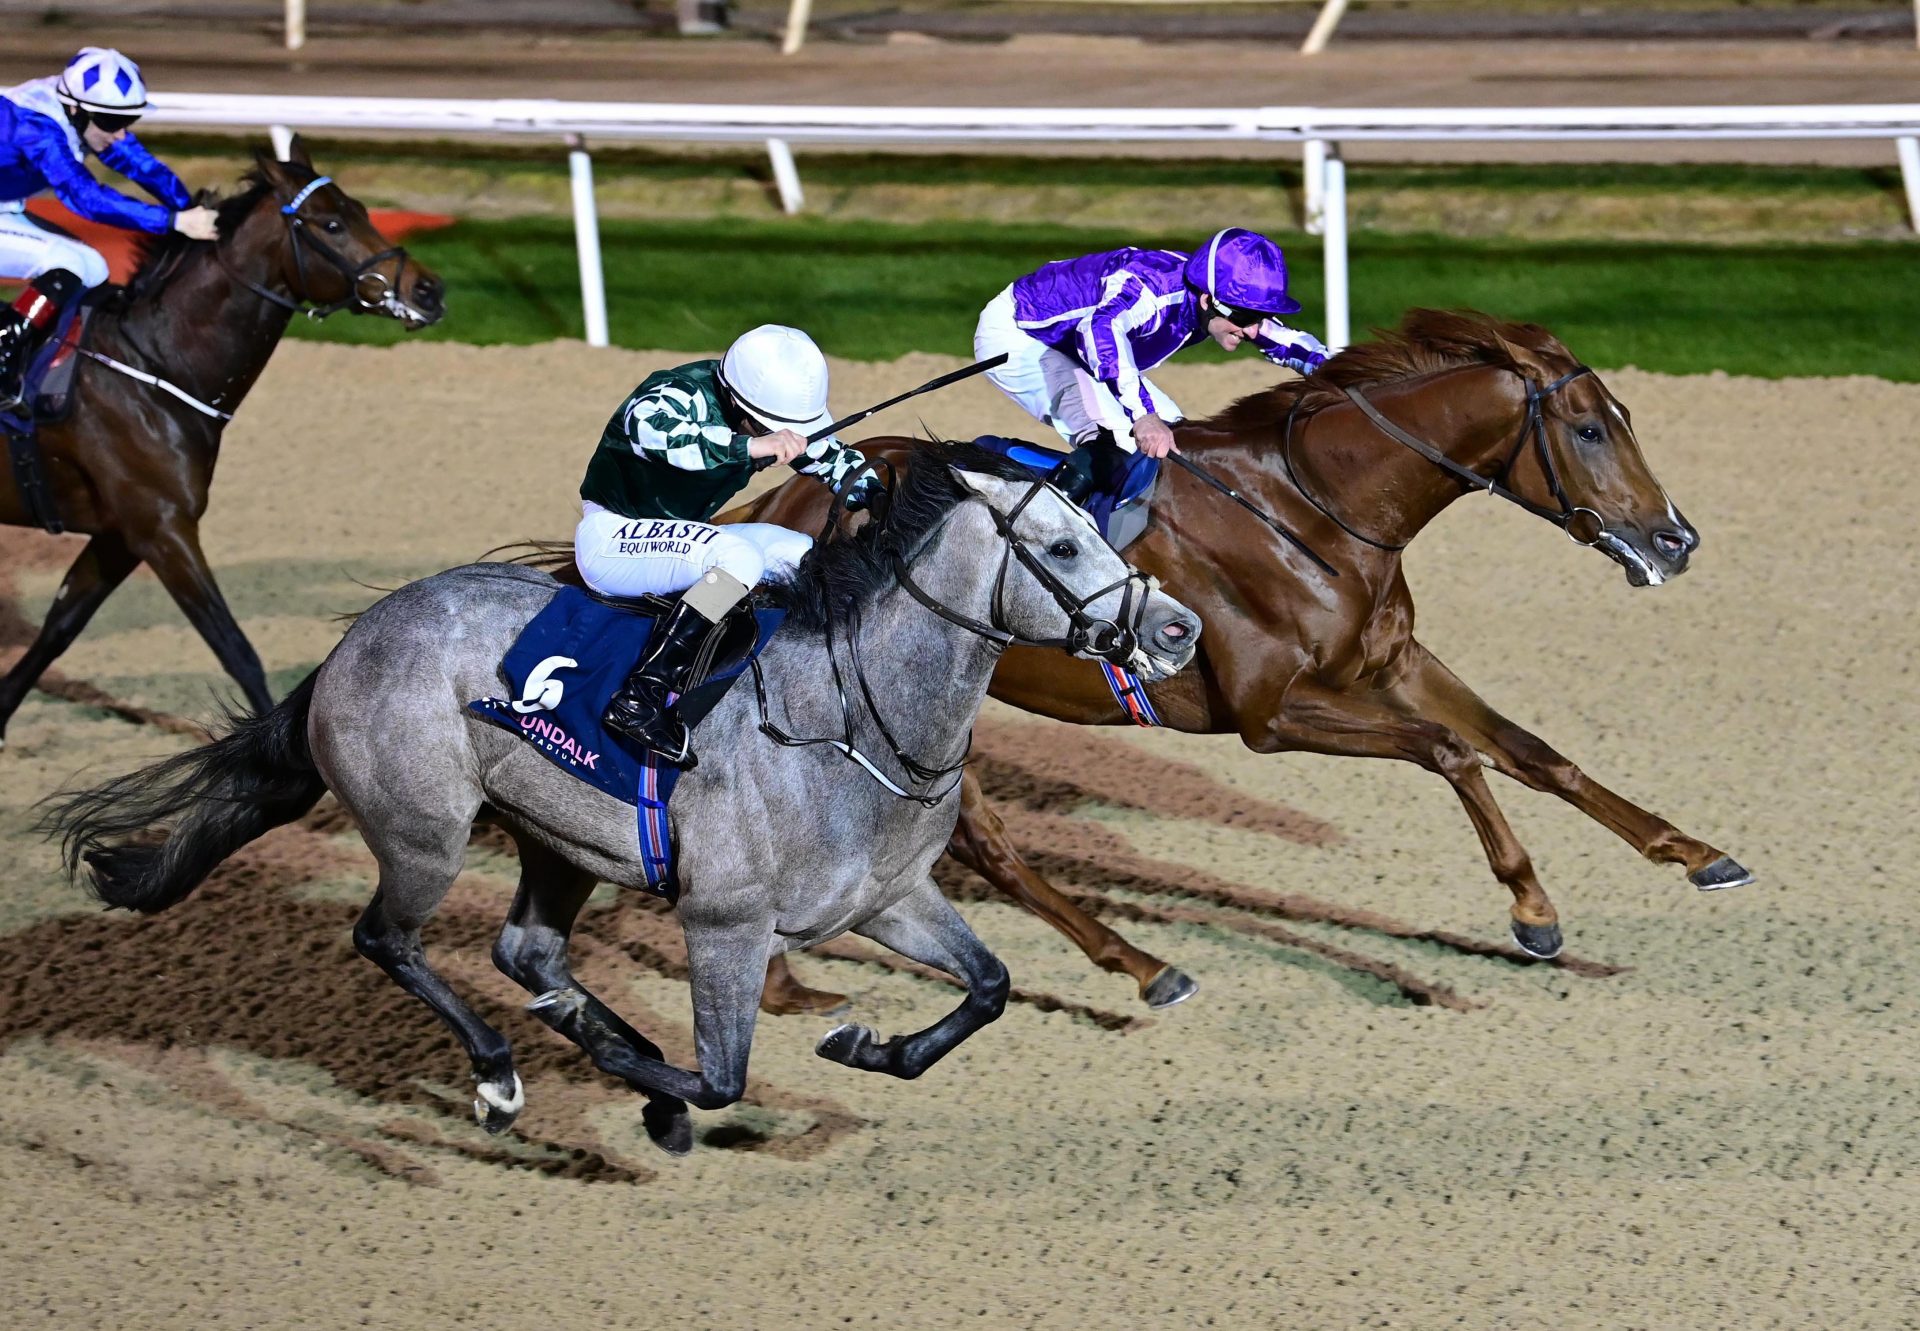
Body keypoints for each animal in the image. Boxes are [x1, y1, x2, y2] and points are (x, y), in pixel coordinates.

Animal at [1, 139, 441, 741]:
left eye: (363, 212)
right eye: (330, 223)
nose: (430, 289)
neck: (152, 366)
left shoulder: (120, 534)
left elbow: (58, 629)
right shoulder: (162, 529)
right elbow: (237, 650)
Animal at [48, 443, 1198, 1152]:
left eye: (1104, 530)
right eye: (1062, 546)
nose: (1178, 627)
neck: (852, 715)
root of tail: (356, 637)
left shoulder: (888, 900)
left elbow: (990, 986)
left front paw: (865, 1045)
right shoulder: (725, 923)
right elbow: (724, 1074)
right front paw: (636, 1075)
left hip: (557, 840)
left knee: (526, 950)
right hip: (426, 834)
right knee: (389, 939)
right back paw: (504, 1072)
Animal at [737, 305, 1758, 998]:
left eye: (1627, 417)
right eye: (1587, 428)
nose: (1677, 539)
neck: (1314, 509)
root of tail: (774, 501)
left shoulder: (1392, 663)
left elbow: (1532, 752)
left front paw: (1695, 850)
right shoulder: (1268, 713)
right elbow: (1451, 751)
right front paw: (1533, 910)